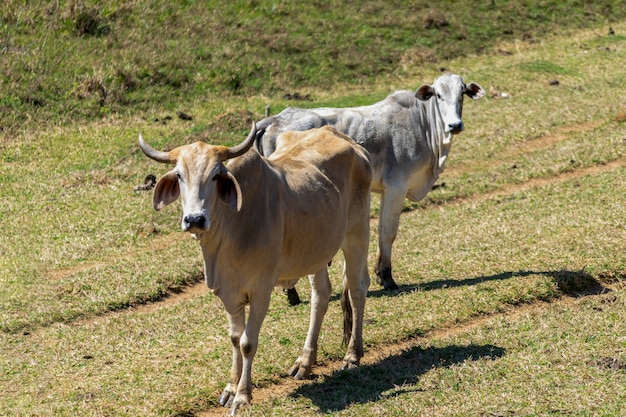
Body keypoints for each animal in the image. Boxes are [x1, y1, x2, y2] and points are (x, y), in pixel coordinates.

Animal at [138, 122, 370, 412]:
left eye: (215, 175)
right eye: (179, 175)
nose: (194, 219)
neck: (234, 227)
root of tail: (345, 139)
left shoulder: (261, 290)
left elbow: (248, 342)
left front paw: (242, 395)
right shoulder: (229, 293)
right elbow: (235, 338)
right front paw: (229, 388)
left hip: (356, 233)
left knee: (357, 289)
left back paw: (352, 355)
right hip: (316, 252)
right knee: (321, 296)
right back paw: (305, 362)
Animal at [255, 72, 482, 292]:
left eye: (462, 95)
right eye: (439, 96)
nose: (454, 125)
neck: (421, 123)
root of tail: (274, 119)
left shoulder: (382, 190)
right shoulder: (396, 187)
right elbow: (388, 232)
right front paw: (387, 277)